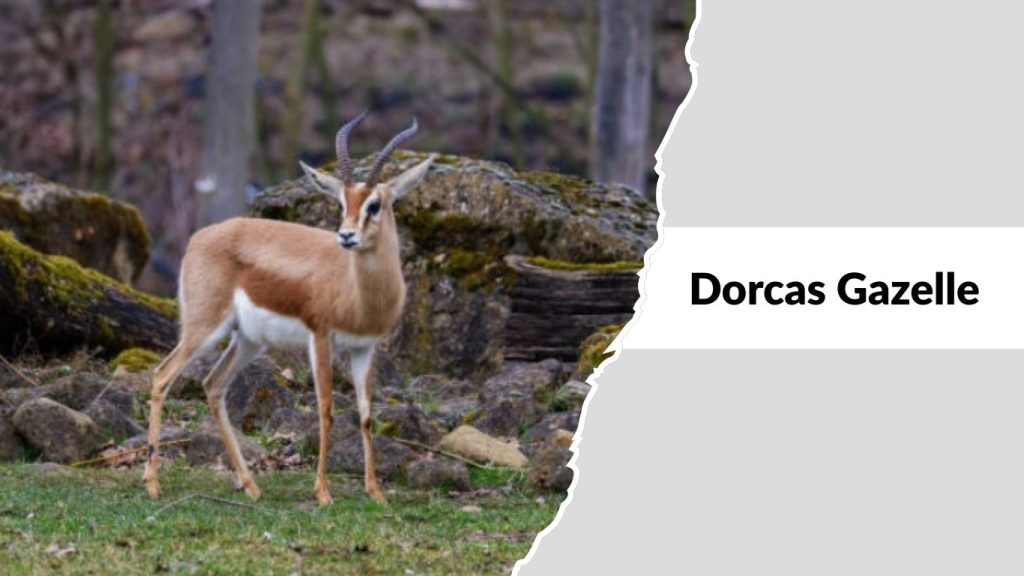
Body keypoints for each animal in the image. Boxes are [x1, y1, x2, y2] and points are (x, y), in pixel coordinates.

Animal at [143, 112, 434, 505]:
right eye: (342, 203)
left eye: (374, 204)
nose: (346, 236)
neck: (356, 292)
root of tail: (198, 238)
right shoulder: (321, 336)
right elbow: (326, 409)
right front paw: (323, 492)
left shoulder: (365, 347)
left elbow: (366, 413)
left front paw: (375, 492)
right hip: (204, 328)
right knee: (162, 376)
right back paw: (152, 484)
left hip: (248, 341)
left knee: (213, 385)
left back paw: (251, 485)